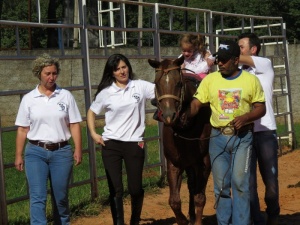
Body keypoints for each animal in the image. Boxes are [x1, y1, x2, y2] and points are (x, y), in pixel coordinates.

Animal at [148, 55, 211, 225]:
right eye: (156, 83)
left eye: (178, 83)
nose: (169, 115)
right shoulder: (174, 164)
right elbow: (174, 201)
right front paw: (183, 219)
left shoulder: (204, 163)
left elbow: (200, 197)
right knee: (190, 186)